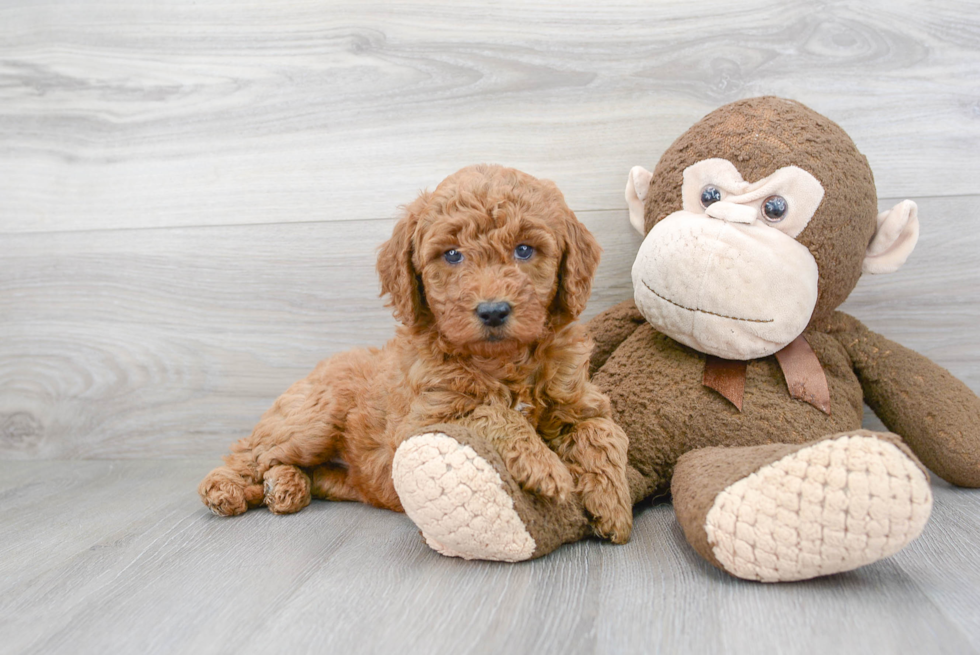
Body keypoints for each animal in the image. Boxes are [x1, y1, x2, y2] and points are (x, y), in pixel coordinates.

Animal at [199, 163, 632, 544]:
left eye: (524, 250)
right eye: (452, 255)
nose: (493, 310)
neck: (501, 359)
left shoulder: (579, 400)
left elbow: (603, 434)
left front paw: (614, 506)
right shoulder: (423, 420)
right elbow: (493, 412)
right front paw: (546, 467)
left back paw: (286, 486)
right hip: (314, 419)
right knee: (251, 452)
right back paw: (224, 489)